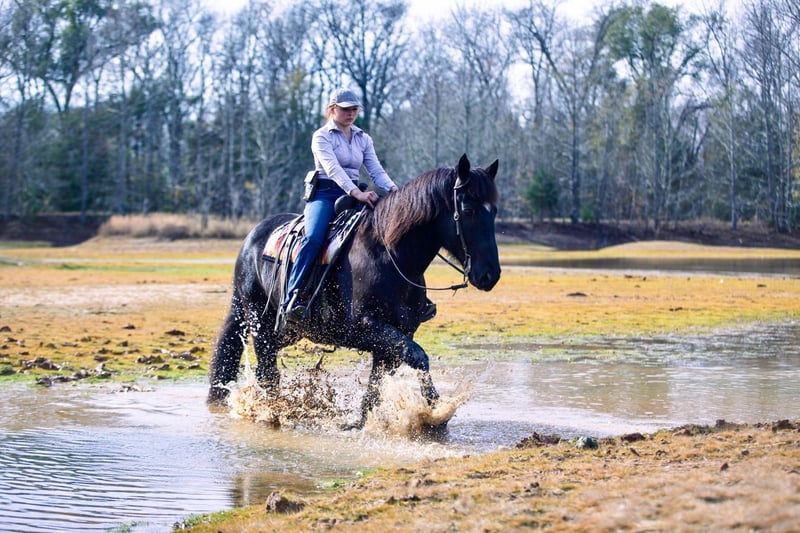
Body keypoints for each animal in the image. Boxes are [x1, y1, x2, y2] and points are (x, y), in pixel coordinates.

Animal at [207, 154, 501, 427]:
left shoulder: (395, 336)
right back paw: (272, 412)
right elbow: (419, 356)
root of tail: (251, 240)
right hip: (260, 323)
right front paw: (437, 409)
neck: (387, 255)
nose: (490, 275)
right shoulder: (364, 328)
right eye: (469, 210)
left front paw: (360, 422)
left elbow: (376, 385)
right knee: (267, 372)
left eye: (494, 211)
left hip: (285, 330)